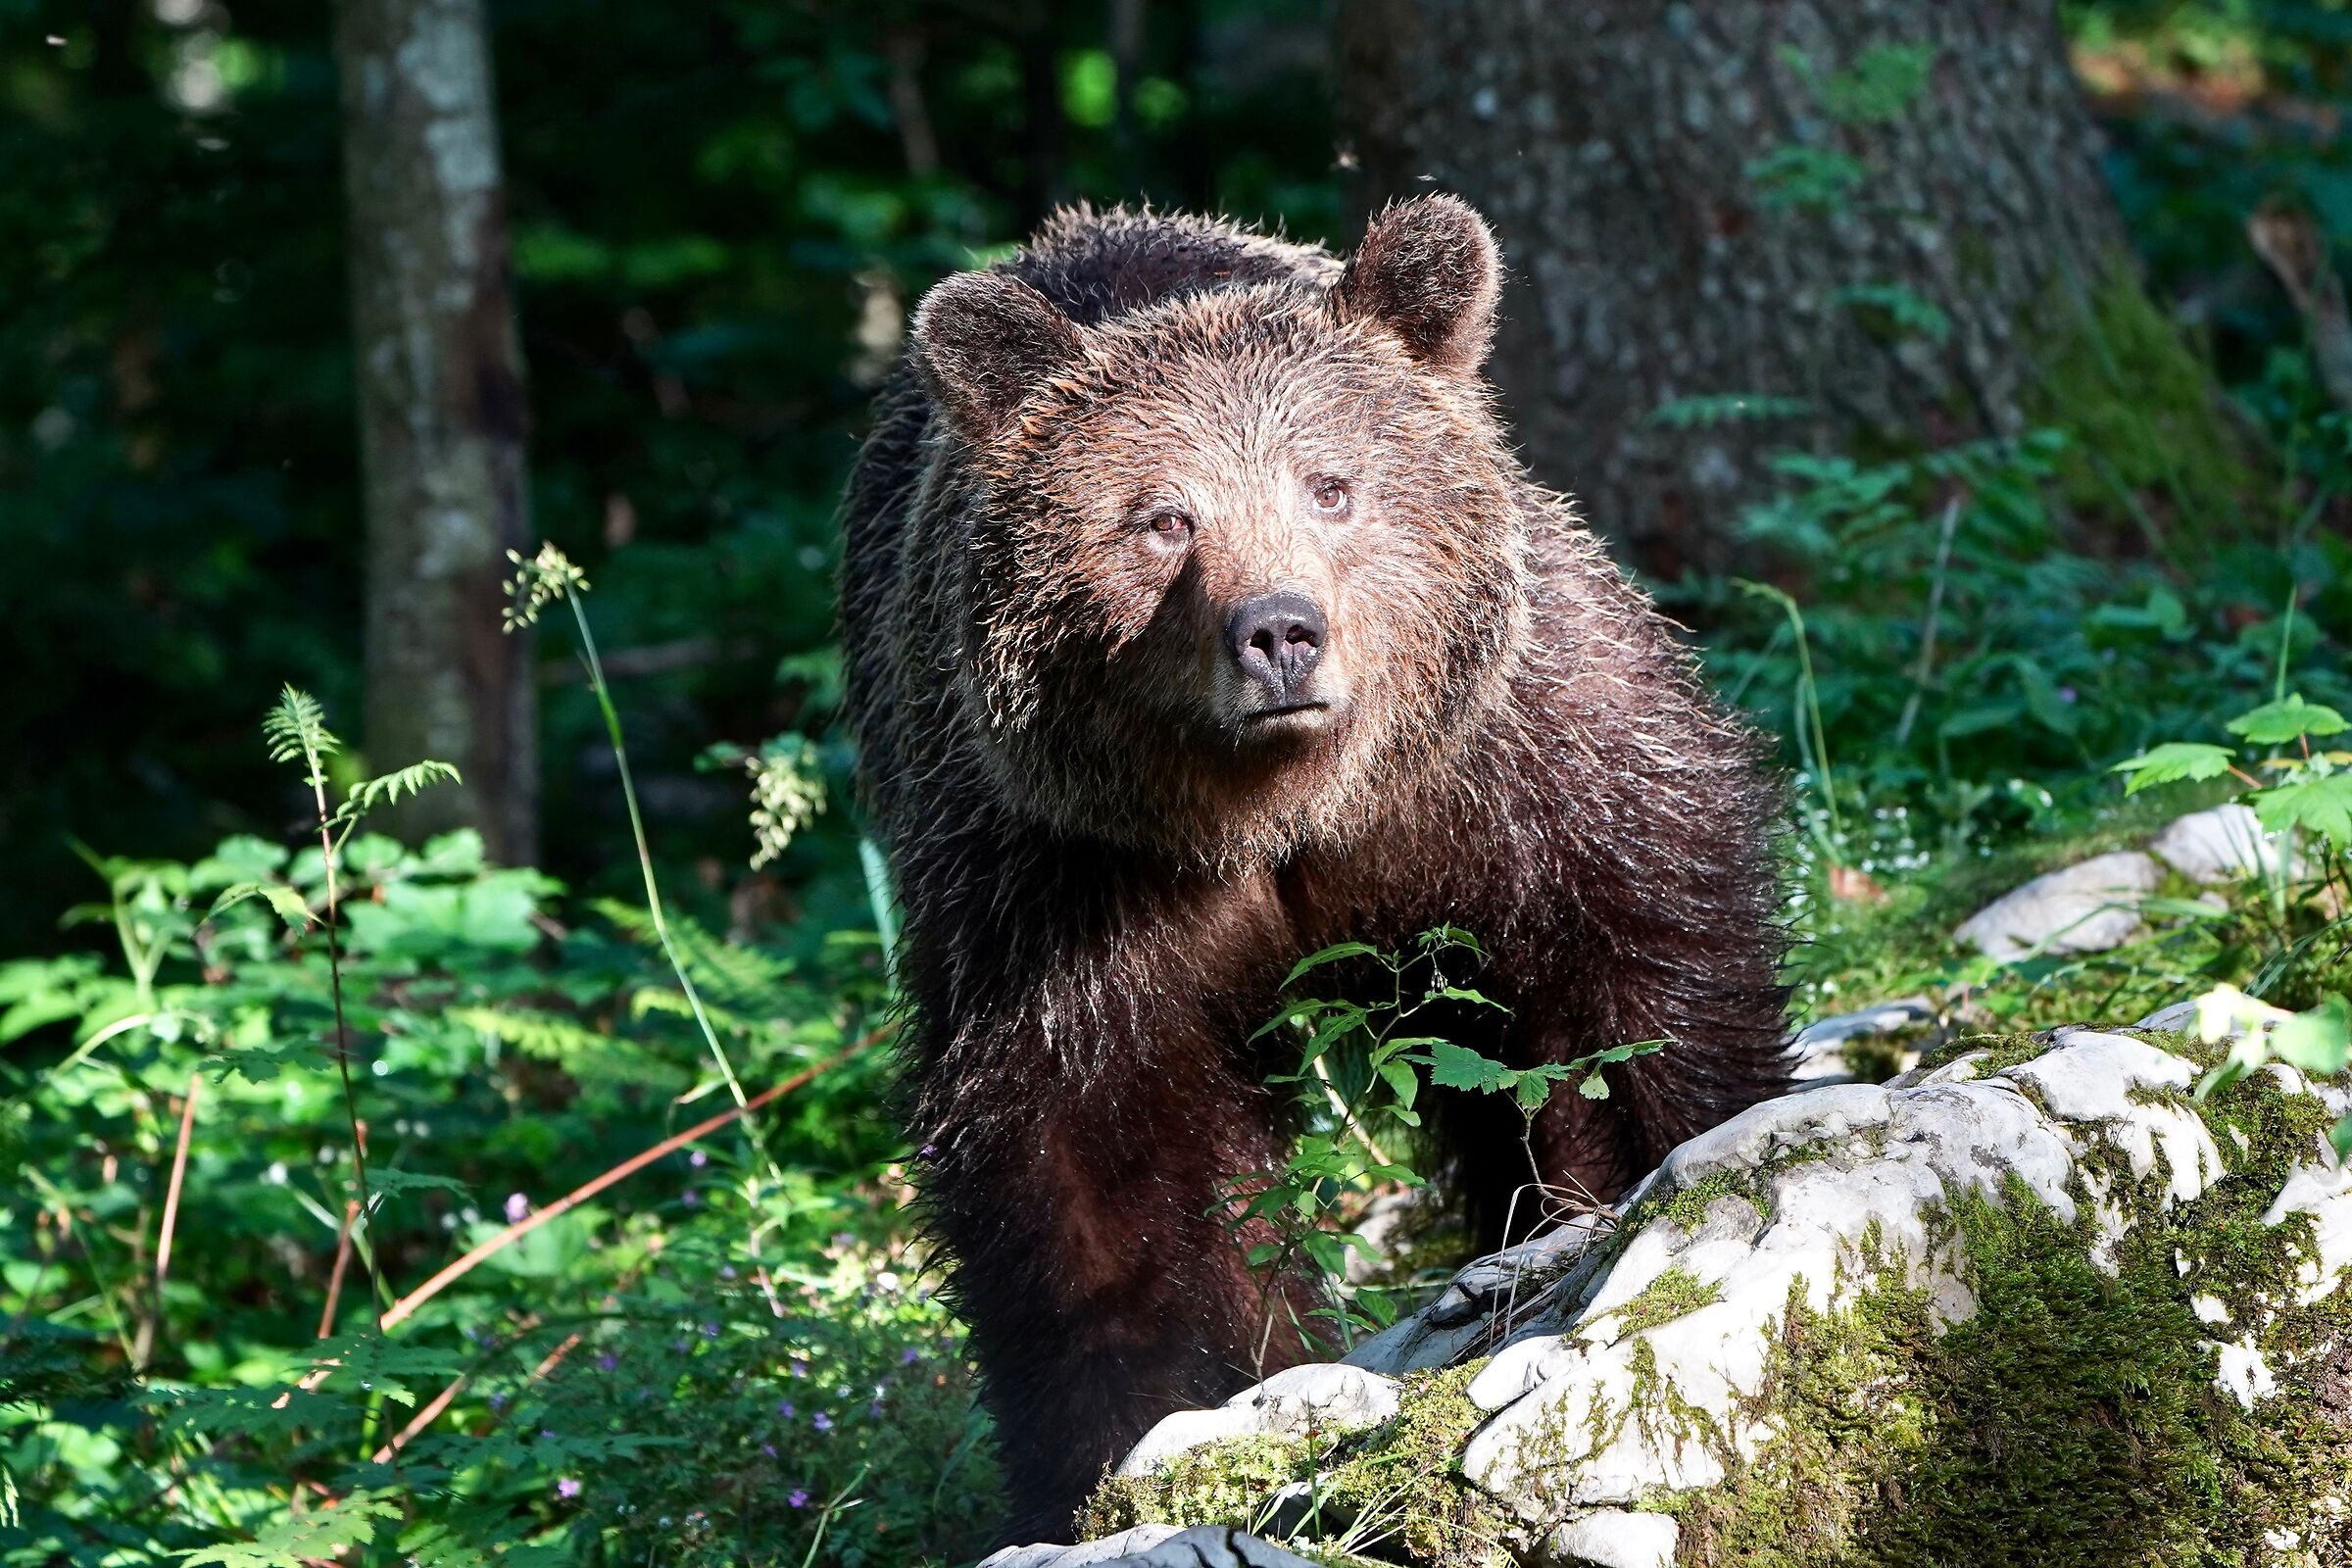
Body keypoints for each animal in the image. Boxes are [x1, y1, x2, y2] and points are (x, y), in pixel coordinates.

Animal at [839, 195, 1789, 1540]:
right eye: (1163, 515)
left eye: (1333, 485)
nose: (1279, 630)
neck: (1282, 810)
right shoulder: (1056, 881)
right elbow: (1090, 1173)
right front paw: (1119, 1451)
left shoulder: (1501, 773)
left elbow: (1629, 986)